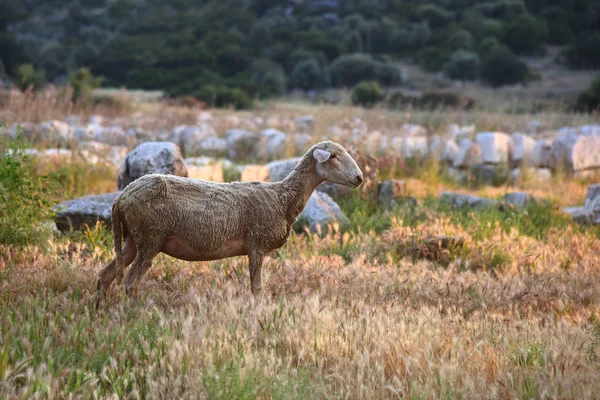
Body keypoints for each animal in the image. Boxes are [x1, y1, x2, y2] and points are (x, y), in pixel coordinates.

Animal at [96, 139, 364, 308]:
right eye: (334, 156)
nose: (360, 178)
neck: (281, 198)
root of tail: (122, 197)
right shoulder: (256, 244)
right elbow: (257, 288)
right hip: (150, 236)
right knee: (130, 283)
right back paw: (137, 312)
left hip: (133, 238)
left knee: (105, 275)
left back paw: (99, 310)